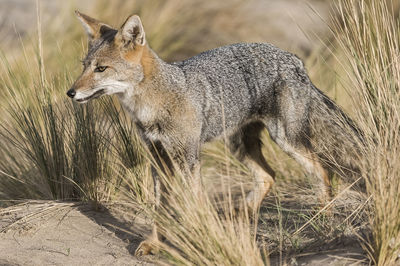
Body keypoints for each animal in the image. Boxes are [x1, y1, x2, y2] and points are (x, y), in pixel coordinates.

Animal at [68, 11, 362, 256]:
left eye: (101, 69)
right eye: (84, 65)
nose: (71, 92)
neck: (154, 103)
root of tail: (295, 60)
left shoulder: (188, 159)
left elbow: (195, 204)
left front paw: (204, 239)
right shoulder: (158, 158)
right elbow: (160, 208)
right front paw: (154, 243)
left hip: (285, 139)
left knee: (322, 170)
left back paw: (322, 218)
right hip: (238, 145)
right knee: (268, 176)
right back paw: (239, 217)